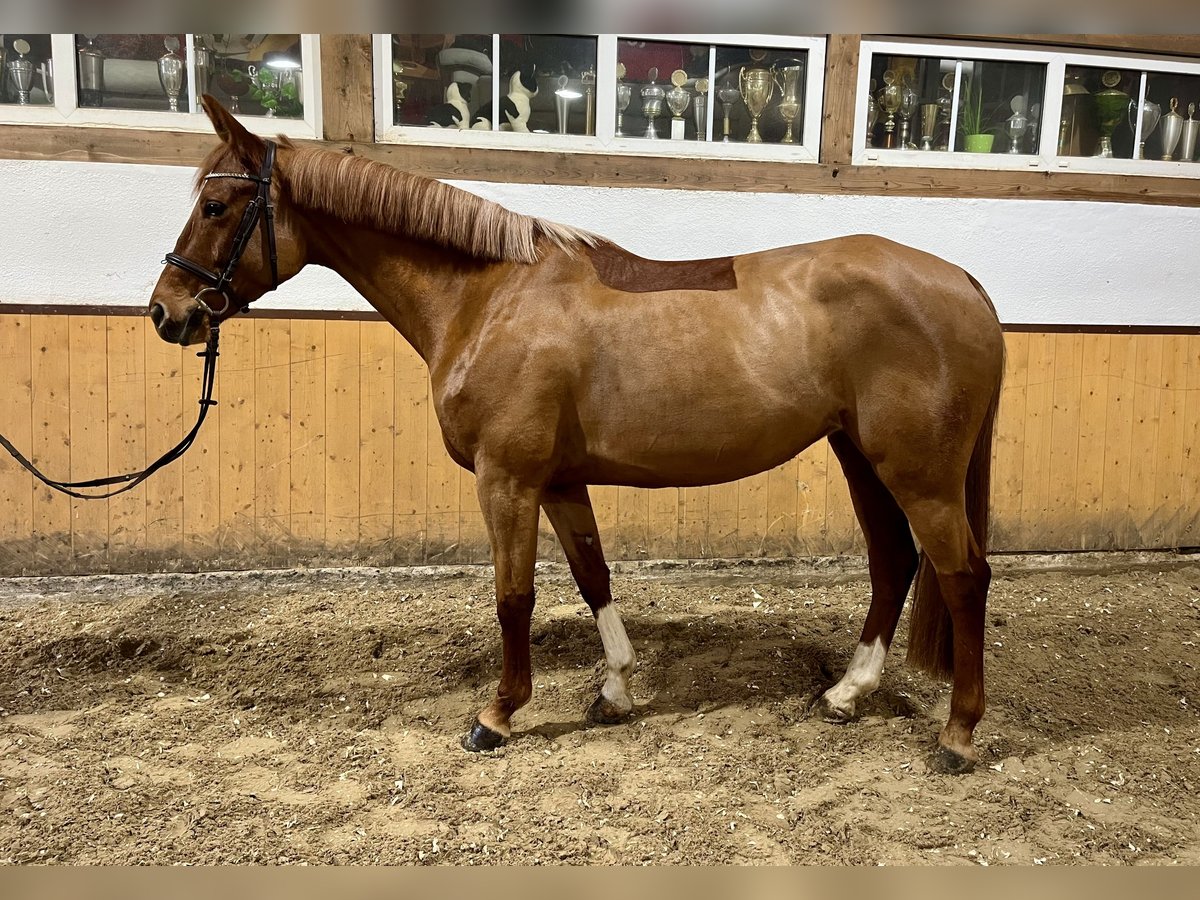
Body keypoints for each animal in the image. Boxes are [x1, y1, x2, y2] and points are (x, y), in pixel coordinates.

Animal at [154, 97, 1008, 777]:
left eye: (218, 207)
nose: (168, 312)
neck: (488, 297)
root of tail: (963, 280)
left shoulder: (506, 477)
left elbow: (513, 597)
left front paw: (497, 715)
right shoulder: (560, 480)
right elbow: (593, 577)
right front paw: (616, 690)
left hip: (919, 471)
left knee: (963, 575)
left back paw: (959, 734)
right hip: (859, 454)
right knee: (893, 561)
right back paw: (845, 693)